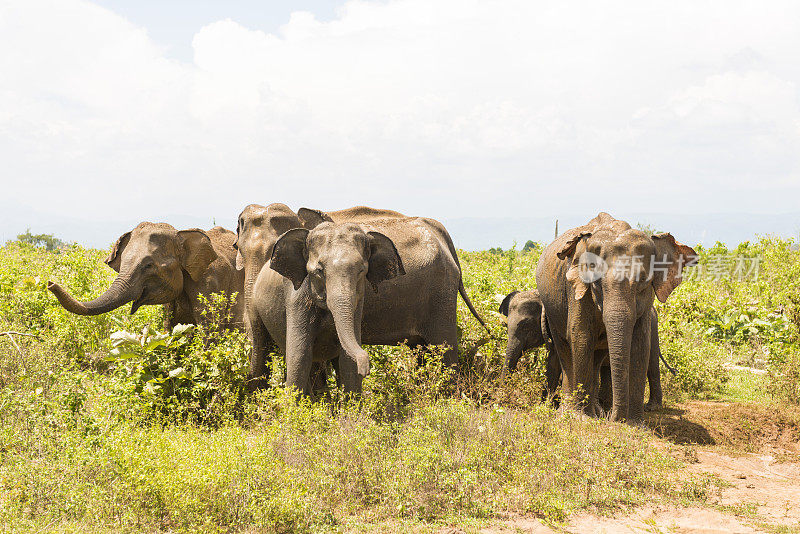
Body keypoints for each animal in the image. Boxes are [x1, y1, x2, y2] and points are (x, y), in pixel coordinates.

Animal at [247, 211, 490, 396]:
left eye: (362, 271)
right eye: (319, 271)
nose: (368, 368)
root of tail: (441, 233)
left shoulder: (358, 298)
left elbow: (342, 361)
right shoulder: (296, 294)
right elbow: (299, 356)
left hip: (442, 293)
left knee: (443, 349)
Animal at [504, 288, 672, 410]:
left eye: (525, 325)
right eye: (506, 325)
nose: (503, 399)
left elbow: (556, 362)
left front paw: (547, 405)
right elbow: (554, 362)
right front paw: (546, 404)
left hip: (652, 330)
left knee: (652, 366)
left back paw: (651, 407)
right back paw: (604, 403)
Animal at [536, 213, 696, 422]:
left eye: (643, 282)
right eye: (596, 283)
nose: (614, 418)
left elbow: (640, 344)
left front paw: (634, 423)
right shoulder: (576, 290)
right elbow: (581, 337)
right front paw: (582, 420)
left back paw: (597, 411)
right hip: (552, 309)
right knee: (564, 349)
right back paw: (572, 412)